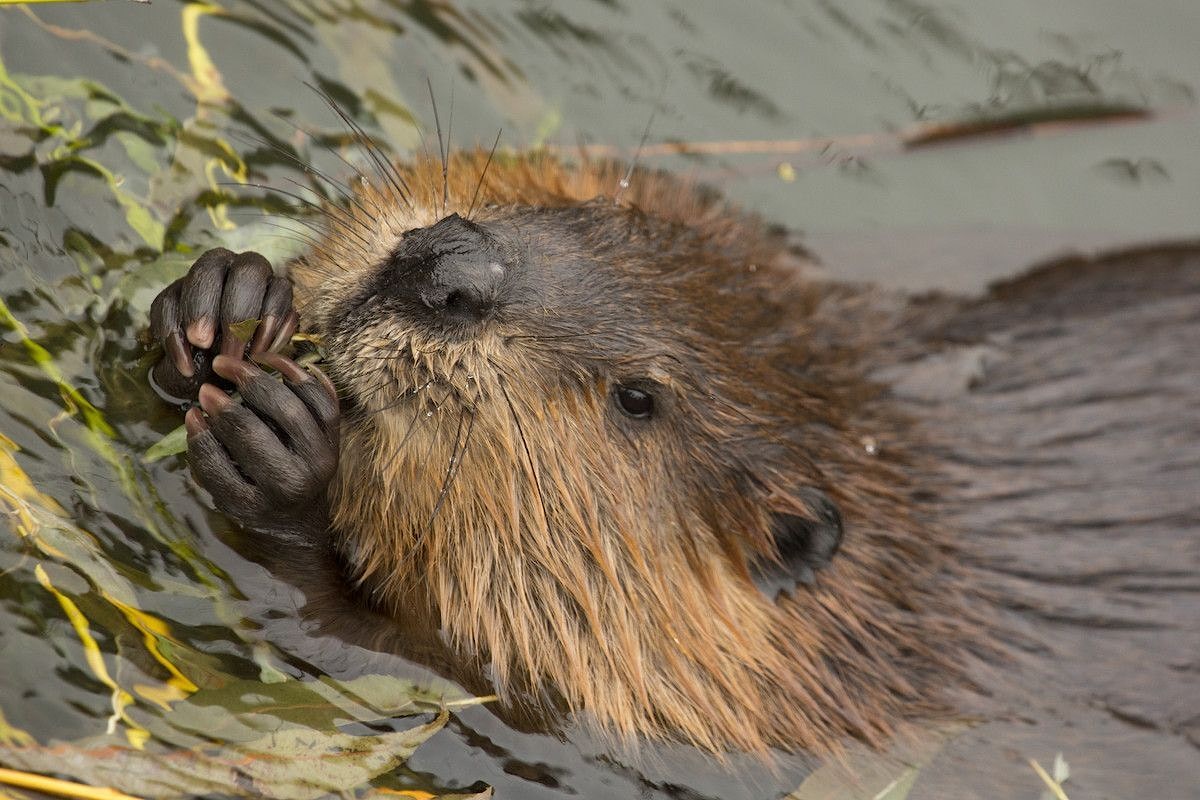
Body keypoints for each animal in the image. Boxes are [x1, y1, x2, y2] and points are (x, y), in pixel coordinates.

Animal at [145, 149, 1195, 777]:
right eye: (580, 212)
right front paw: (225, 298)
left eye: (638, 399)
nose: (447, 268)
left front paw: (284, 450)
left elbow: (402, 666)